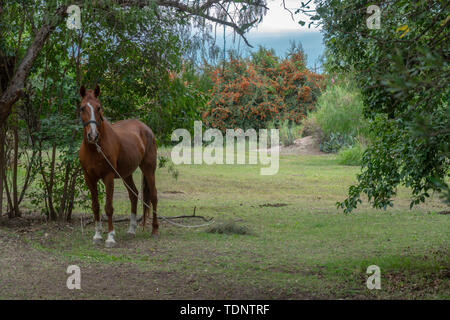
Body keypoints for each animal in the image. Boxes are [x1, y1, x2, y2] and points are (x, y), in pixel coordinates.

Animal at [78, 85, 159, 248]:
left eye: (98, 107)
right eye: (82, 108)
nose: (93, 135)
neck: (95, 148)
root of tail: (146, 128)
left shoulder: (108, 176)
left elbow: (109, 207)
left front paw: (110, 237)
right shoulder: (89, 178)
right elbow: (95, 206)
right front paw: (97, 235)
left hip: (149, 169)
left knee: (153, 196)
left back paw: (154, 230)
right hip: (126, 174)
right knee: (134, 195)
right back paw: (131, 230)